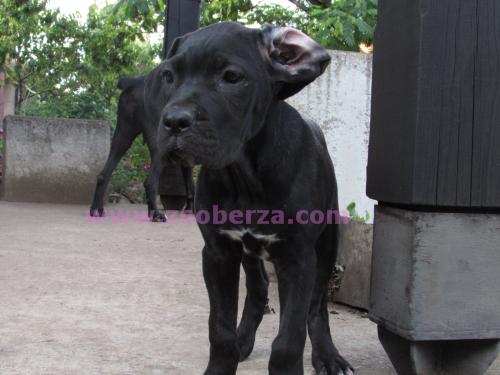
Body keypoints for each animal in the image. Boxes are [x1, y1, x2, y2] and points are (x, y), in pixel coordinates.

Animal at [89, 77, 192, 222]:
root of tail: (134, 82)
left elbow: (190, 184)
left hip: (122, 138)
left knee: (103, 175)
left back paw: (96, 209)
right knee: (149, 182)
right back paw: (156, 213)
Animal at [146, 22, 354, 374]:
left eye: (232, 77)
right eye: (169, 75)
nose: (174, 121)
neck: (244, 175)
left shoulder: (298, 258)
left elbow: (288, 340)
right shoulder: (218, 253)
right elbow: (220, 330)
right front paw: (222, 363)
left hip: (327, 243)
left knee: (317, 306)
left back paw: (328, 356)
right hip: (249, 253)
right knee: (258, 292)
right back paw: (245, 340)